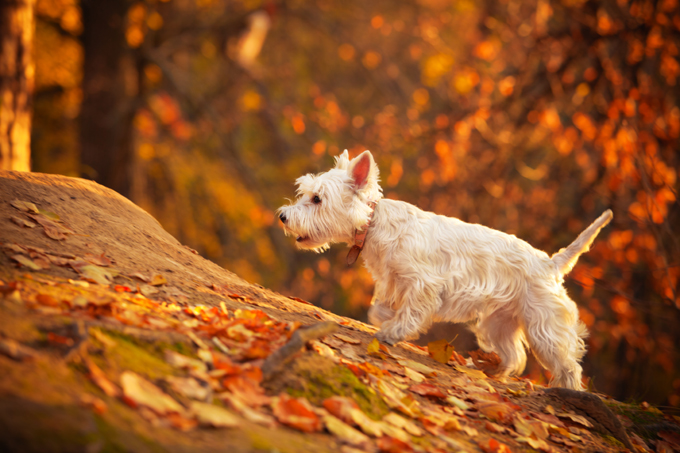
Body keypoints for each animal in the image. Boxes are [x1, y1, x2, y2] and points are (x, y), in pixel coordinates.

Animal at [276, 149, 612, 388]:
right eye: (305, 193)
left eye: (317, 199)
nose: (282, 216)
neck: (373, 226)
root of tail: (550, 262)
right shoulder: (392, 281)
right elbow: (379, 309)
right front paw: (388, 323)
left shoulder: (424, 282)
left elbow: (411, 312)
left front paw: (395, 332)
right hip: (500, 321)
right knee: (515, 355)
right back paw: (496, 370)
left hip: (543, 325)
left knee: (568, 364)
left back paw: (567, 392)